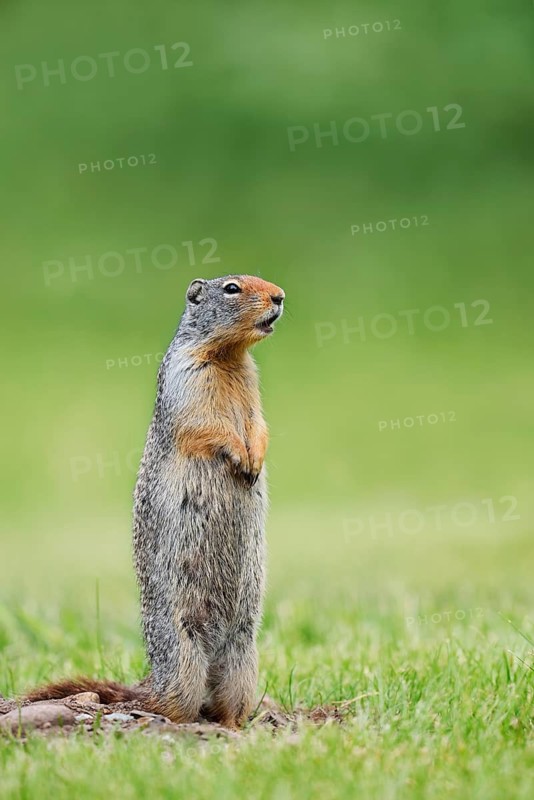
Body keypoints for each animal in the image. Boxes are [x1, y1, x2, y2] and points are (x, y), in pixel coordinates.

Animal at [25, 274, 284, 729]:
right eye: (232, 288)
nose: (280, 296)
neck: (229, 357)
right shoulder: (188, 380)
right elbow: (205, 425)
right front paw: (240, 456)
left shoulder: (252, 386)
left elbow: (259, 423)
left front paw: (256, 457)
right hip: (181, 651)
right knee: (175, 705)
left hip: (243, 655)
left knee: (224, 705)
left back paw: (236, 725)